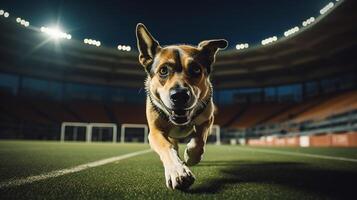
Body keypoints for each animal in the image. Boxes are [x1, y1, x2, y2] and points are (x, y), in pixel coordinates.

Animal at [135, 22, 227, 190]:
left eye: (196, 69)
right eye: (163, 70)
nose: (179, 95)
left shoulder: (207, 120)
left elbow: (199, 140)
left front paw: (191, 156)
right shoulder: (155, 132)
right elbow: (167, 147)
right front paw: (177, 170)